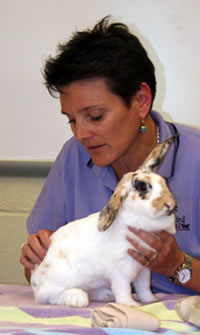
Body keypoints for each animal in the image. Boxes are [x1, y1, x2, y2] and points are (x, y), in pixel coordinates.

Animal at [30, 135, 177, 308]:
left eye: (164, 181)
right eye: (142, 187)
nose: (169, 204)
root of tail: (35, 280)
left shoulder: (144, 270)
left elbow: (144, 287)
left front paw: (151, 300)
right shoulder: (120, 271)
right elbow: (123, 289)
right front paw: (130, 304)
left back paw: (105, 295)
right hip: (57, 284)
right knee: (49, 297)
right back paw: (78, 298)